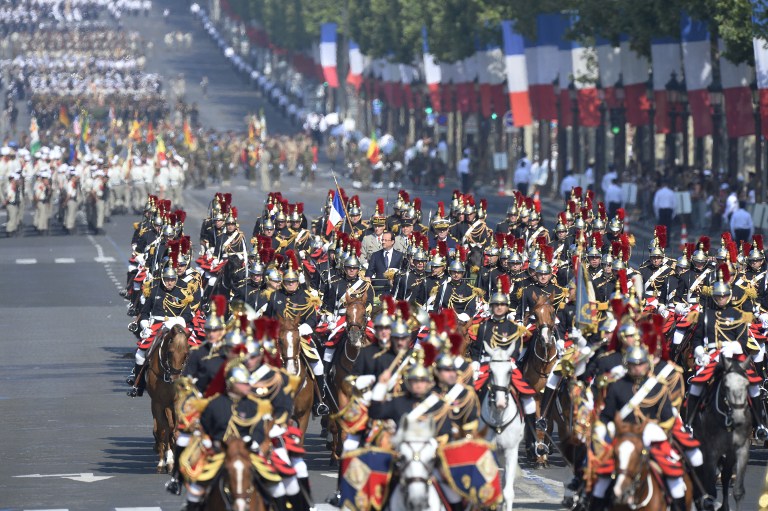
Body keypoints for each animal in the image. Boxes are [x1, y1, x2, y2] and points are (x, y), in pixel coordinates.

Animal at [146, 326, 190, 474]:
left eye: (186, 354)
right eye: (170, 353)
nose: (176, 380)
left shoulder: (176, 402)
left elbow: (175, 430)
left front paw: (173, 461)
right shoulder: (157, 404)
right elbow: (162, 430)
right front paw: (163, 462)